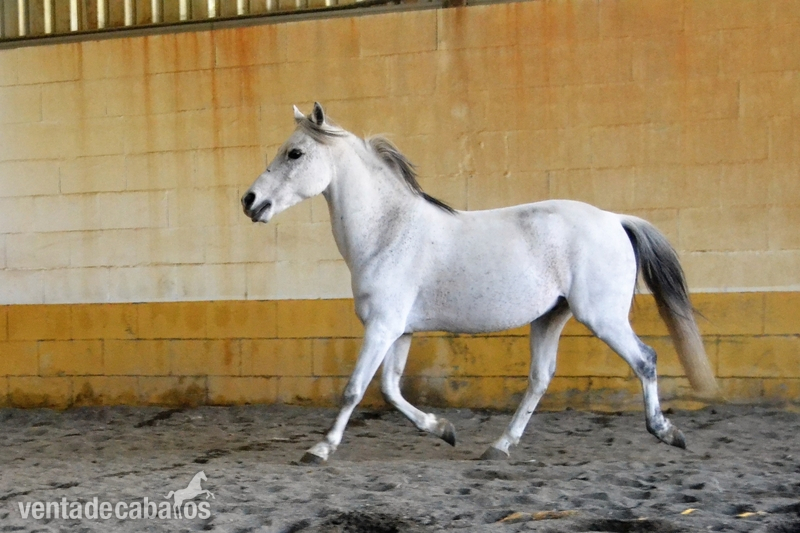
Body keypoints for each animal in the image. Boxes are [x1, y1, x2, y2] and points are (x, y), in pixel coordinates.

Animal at [241, 102, 718, 464]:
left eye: (295, 153)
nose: (249, 201)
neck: (388, 232)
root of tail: (616, 220)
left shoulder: (381, 327)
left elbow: (354, 389)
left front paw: (319, 449)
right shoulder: (399, 330)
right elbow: (391, 390)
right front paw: (443, 429)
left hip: (601, 317)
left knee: (646, 360)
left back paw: (666, 432)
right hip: (551, 317)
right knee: (539, 379)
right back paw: (499, 447)